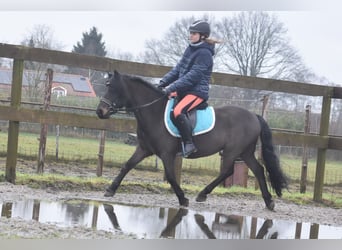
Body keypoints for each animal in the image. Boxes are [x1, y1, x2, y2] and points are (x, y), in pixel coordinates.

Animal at [96, 71, 288, 211]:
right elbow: (127, 166)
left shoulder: (167, 153)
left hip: (233, 151)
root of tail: (254, 116)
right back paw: (268, 202)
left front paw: (183, 198)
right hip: (246, 152)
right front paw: (110, 190)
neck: (153, 112)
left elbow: (171, 176)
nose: (100, 111)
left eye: (113, 88)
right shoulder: (144, 149)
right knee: (258, 169)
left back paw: (202, 194)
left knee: (227, 171)